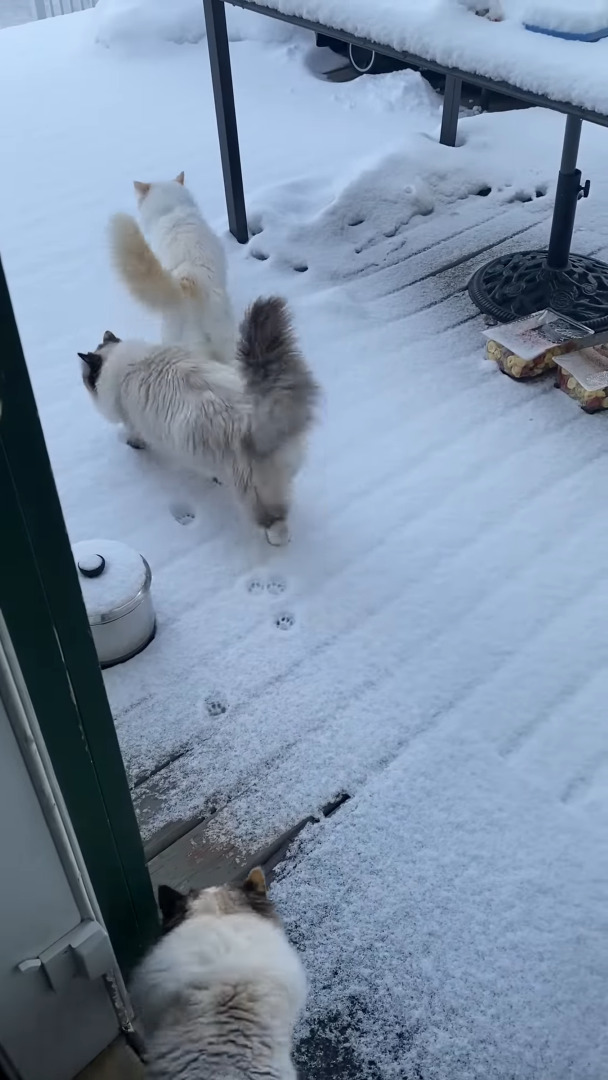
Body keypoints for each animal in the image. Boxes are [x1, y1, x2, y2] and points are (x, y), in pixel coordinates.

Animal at [79, 295, 319, 544]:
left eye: (86, 377)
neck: (125, 362)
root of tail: (256, 415)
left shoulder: (134, 422)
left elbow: (135, 437)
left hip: (253, 494)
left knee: (275, 524)